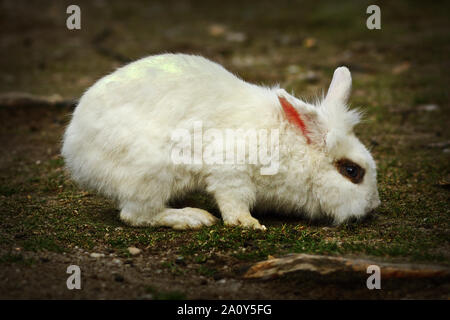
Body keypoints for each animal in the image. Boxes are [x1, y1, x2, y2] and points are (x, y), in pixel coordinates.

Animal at [61, 54, 380, 230]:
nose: (373, 207)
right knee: (136, 214)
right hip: (151, 172)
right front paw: (246, 223)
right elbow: (233, 200)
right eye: (351, 171)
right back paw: (192, 217)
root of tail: (74, 153)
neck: (291, 147)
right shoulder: (230, 170)